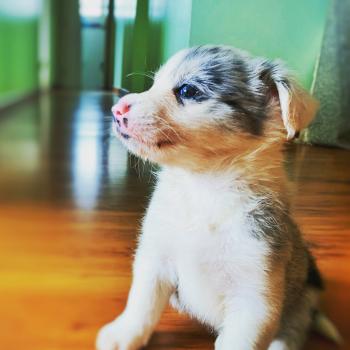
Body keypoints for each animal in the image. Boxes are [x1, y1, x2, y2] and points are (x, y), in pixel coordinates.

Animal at [97, 46, 334, 350]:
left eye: (187, 90)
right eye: (154, 83)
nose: (117, 109)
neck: (204, 190)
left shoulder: (255, 298)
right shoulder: (155, 259)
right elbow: (142, 303)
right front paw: (124, 333)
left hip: (301, 303)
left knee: (291, 332)